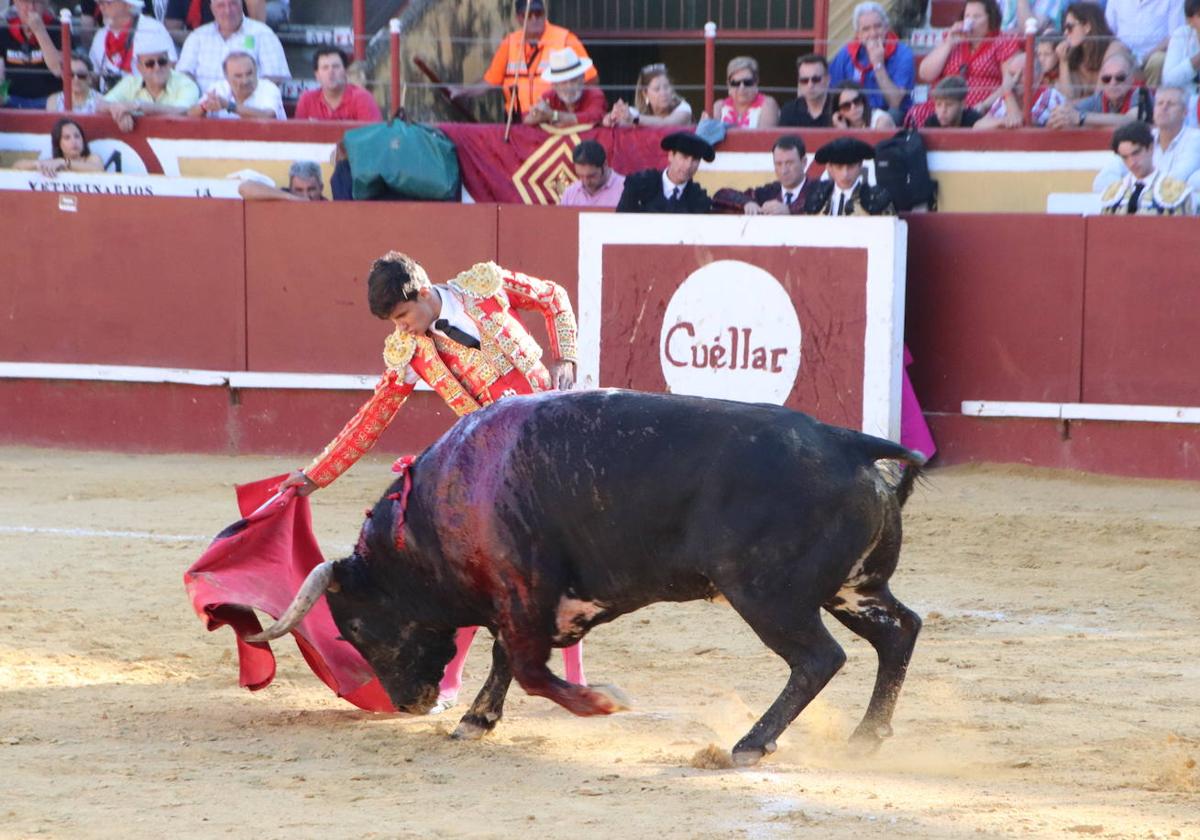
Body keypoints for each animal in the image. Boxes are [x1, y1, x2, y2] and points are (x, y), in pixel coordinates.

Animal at [255, 391, 926, 763]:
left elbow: (527, 669)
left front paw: (603, 702)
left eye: (356, 629)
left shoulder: (523, 593)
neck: (429, 514)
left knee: (818, 658)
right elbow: (506, 660)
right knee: (900, 631)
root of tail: (845, 444)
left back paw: (750, 745)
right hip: (851, 588)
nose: (407, 704)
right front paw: (474, 722)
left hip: (768, 595)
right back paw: (866, 738)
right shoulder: (523, 603)